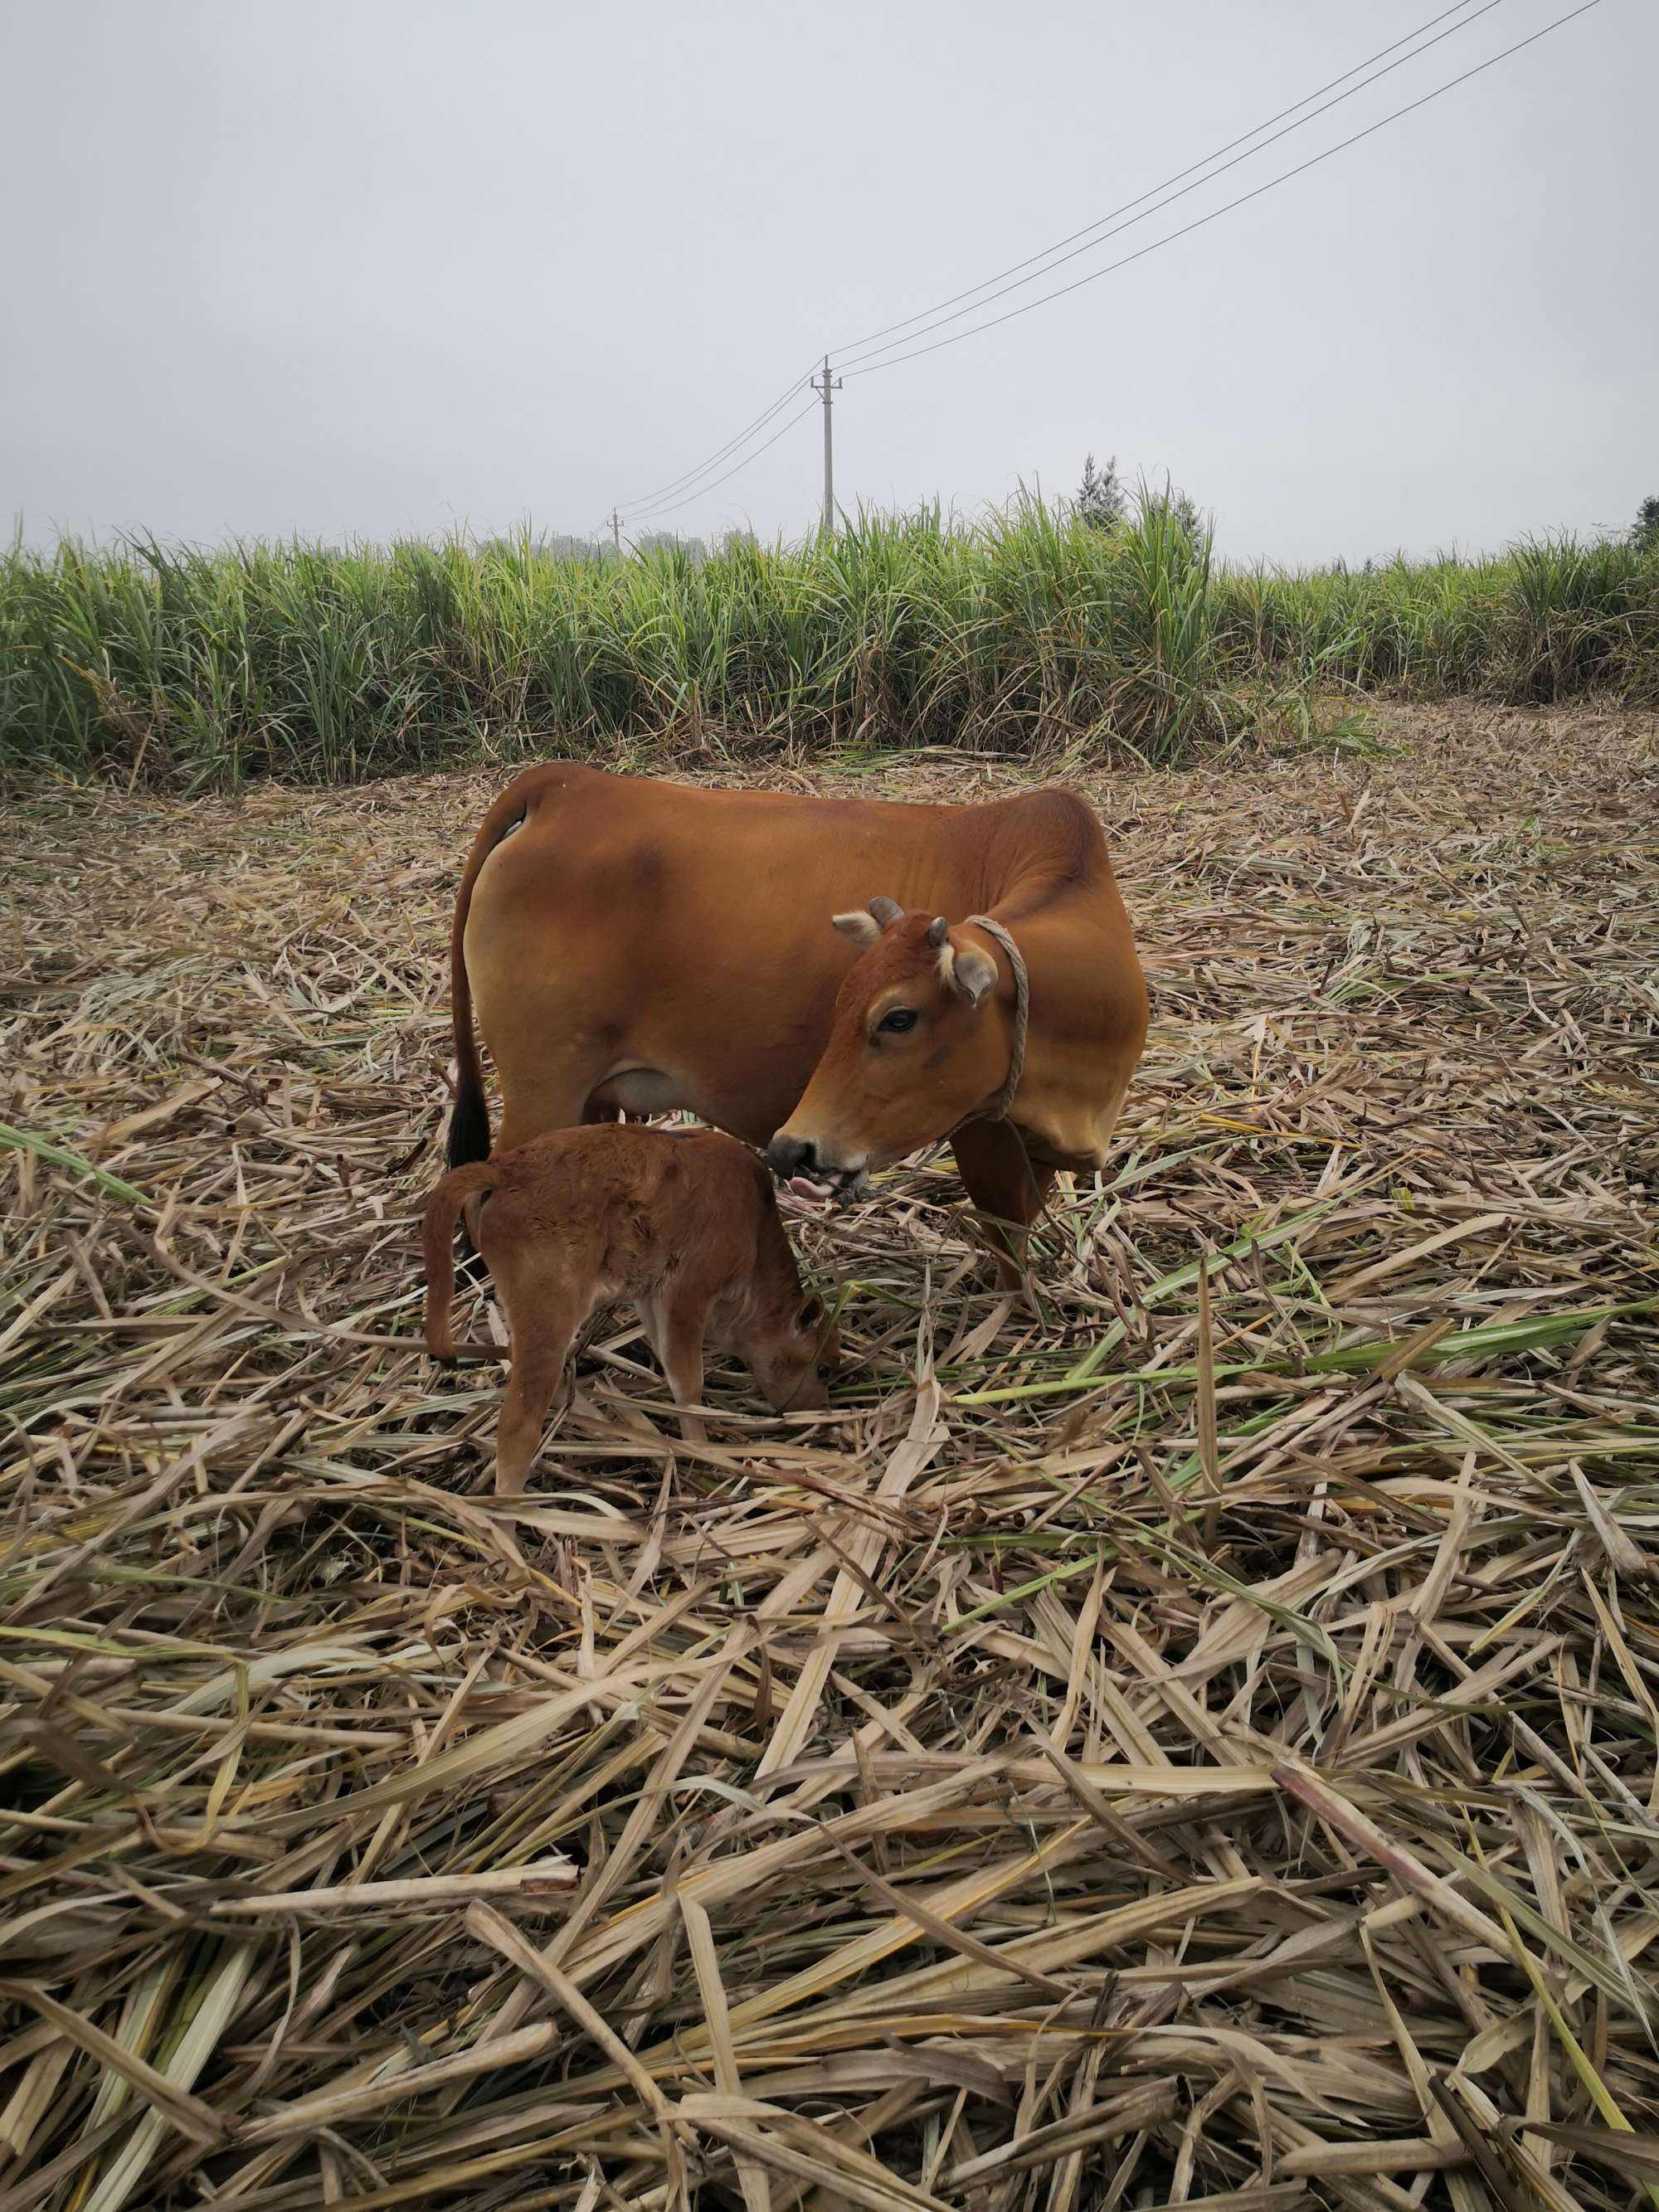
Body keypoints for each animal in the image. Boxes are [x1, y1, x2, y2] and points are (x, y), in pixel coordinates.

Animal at [425, 1132, 844, 1495]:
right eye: (823, 1368)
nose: (821, 1413)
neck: (755, 1232)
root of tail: (506, 1169)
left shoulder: (651, 1296)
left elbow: (668, 1362)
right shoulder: (688, 1291)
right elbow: (689, 1381)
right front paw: (704, 1449)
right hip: (551, 1314)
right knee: (518, 1425)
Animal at [451, 770, 1159, 1274]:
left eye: (898, 1018)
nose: (795, 1148)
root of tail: (566, 784)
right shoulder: (985, 1135)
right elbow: (1008, 1240)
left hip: (588, 1100)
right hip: (544, 1088)